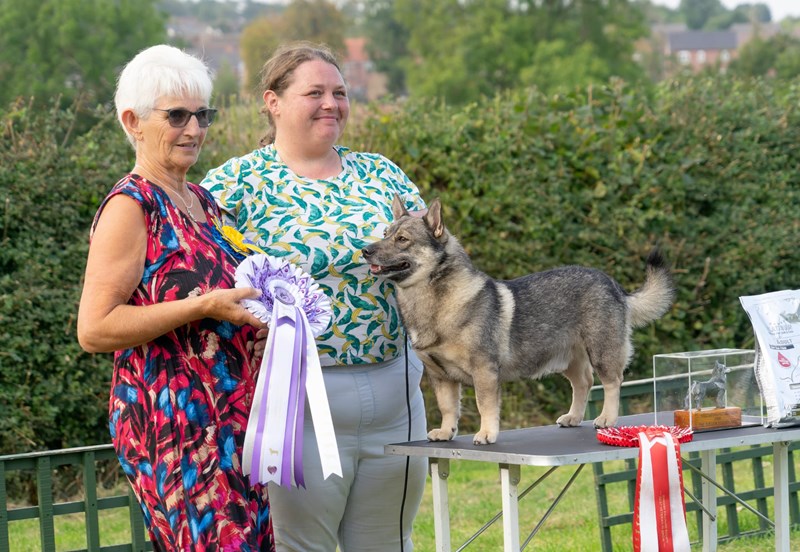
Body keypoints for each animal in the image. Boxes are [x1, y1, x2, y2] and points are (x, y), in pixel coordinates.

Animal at [362, 196, 676, 446]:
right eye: (385, 233)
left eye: (402, 239)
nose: (366, 250)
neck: (432, 301)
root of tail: (615, 286)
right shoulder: (441, 377)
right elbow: (448, 408)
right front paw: (445, 431)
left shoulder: (484, 372)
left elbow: (484, 405)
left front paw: (487, 433)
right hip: (570, 360)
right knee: (584, 383)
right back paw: (573, 417)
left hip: (602, 350)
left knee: (612, 382)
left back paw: (607, 418)